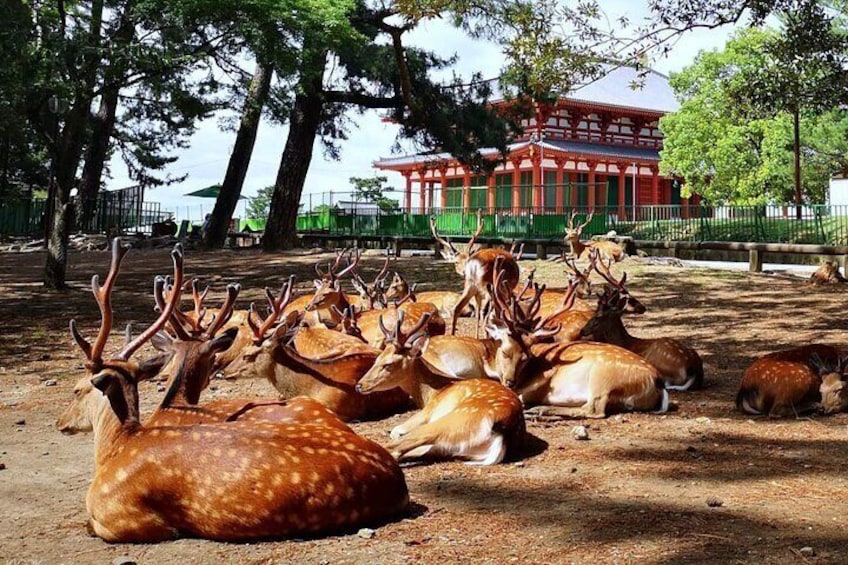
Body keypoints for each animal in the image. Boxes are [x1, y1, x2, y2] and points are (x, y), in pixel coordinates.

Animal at [352, 310, 524, 464]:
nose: (359, 385)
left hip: (455, 419)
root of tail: (504, 430)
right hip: (451, 447)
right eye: (377, 359)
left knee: (398, 445)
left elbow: (396, 431)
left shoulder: (427, 412)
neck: (430, 393)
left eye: (388, 364)